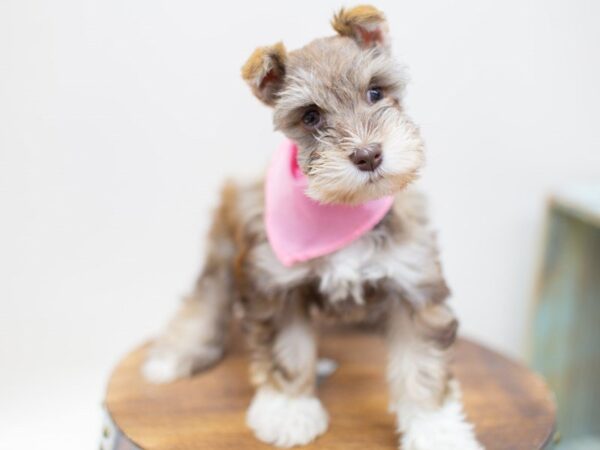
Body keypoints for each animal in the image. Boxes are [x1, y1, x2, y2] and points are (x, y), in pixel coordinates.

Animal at [142, 4, 482, 450]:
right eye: (310, 116)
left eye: (375, 92)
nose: (368, 155)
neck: (343, 208)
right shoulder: (278, 288)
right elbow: (288, 352)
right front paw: (289, 410)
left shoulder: (414, 284)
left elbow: (422, 369)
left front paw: (436, 431)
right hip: (223, 254)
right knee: (204, 301)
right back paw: (174, 356)